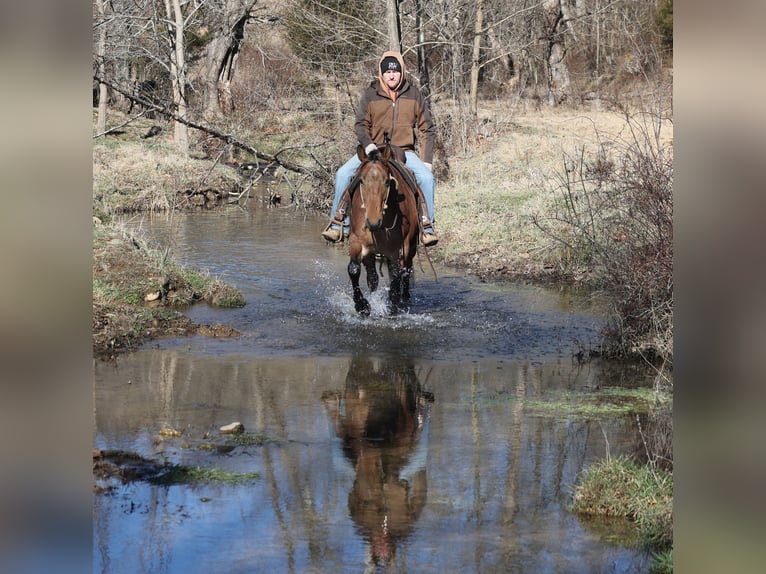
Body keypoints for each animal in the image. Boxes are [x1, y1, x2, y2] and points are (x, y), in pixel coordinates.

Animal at [346, 144, 420, 316]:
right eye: (361, 181)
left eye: (387, 182)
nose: (373, 221)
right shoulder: (357, 241)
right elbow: (353, 269)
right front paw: (362, 306)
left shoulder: (400, 247)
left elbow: (397, 273)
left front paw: (394, 305)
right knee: (373, 276)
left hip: (411, 245)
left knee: (406, 270)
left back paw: (404, 299)